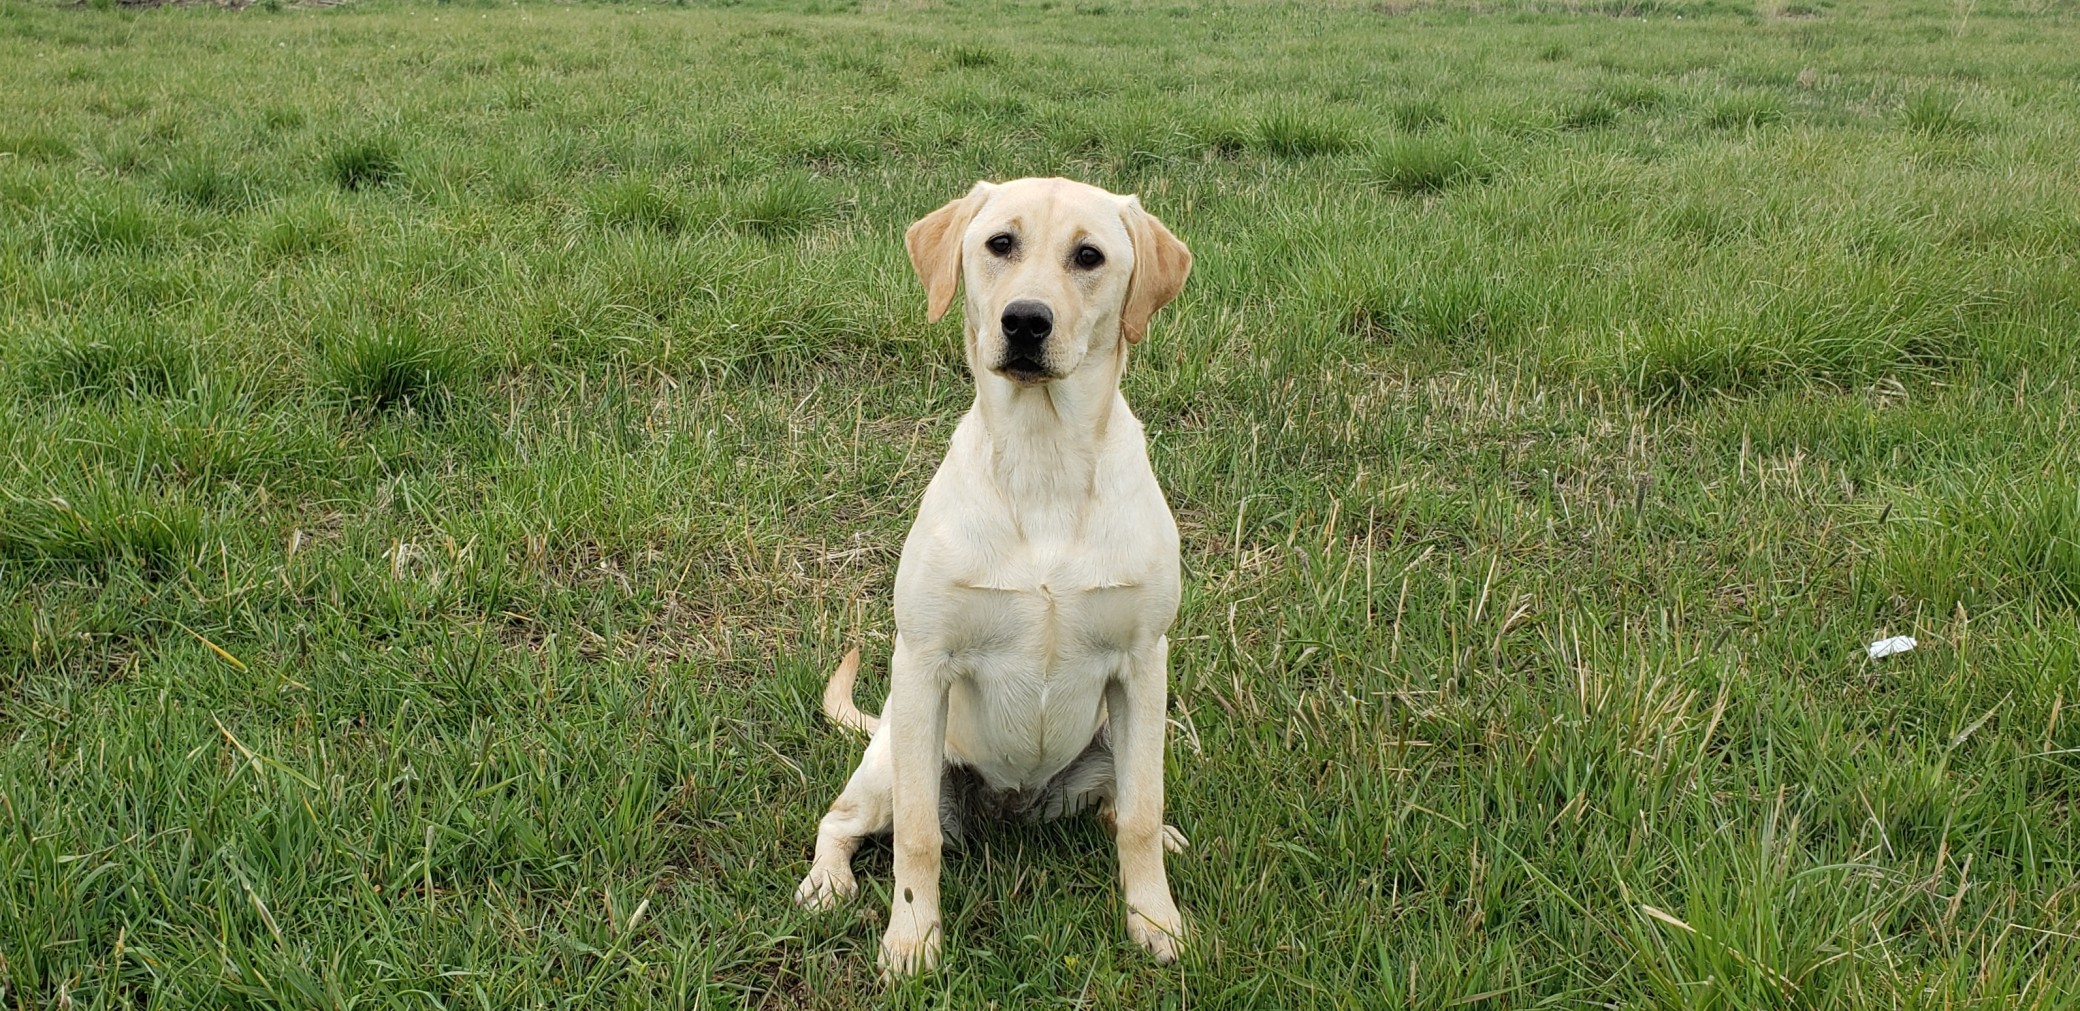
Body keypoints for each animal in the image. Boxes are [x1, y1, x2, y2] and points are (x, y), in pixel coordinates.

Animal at [790, 177, 1189, 973]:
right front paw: (911, 939)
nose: (1026, 321)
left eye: (1089, 256)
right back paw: (826, 882)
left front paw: (1153, 919)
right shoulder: (923, 662)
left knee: (1121, 804)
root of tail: (1015, 805)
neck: (1044, 459)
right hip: (894, 755)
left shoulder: (1142, 666)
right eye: (1000, 243)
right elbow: (917, 838)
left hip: (1115, 733)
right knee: (842, 819)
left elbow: (1140, 808)